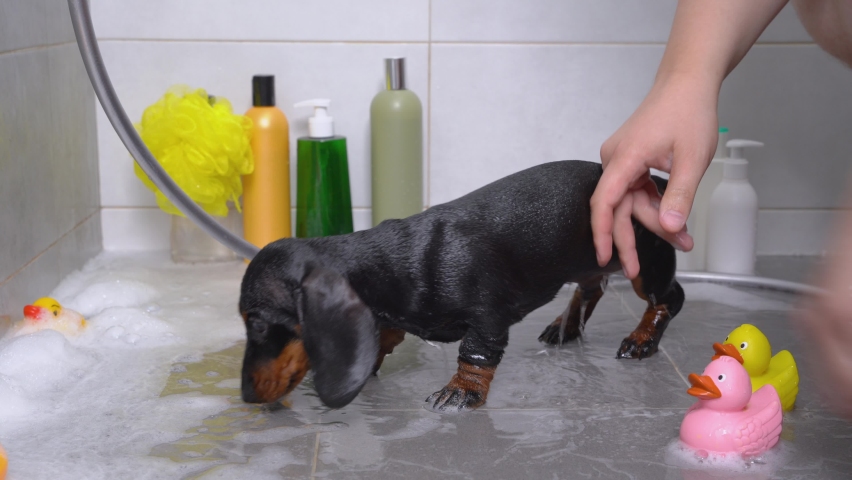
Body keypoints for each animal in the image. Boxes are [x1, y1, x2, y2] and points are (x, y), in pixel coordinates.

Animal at [236, 161, 684, 412]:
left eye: (256, 323)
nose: (245, 396)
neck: (389, 259)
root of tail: (655, 182)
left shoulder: (488, 316)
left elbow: (476, 353)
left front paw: (460, 393)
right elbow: (382, 339)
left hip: (644, 260)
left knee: (668, 298)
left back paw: (642, 339)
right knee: (592, 287)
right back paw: (566, 326)